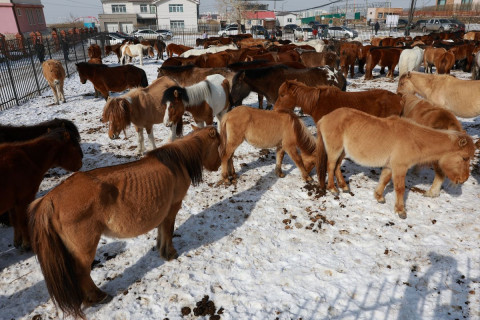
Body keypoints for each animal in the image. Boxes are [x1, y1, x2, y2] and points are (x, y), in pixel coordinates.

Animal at [31, 126, 222, 318]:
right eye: (219, 144)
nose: (219, 165)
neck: (176, 163)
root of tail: (50, 199)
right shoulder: (172, 208)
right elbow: (168, 232)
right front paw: (170, 253)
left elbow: (161, 232)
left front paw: (160, 249)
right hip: (84, 248)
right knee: (81, 273)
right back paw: (99, 296)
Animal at [316, 108, 474, 220]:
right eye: (465, 158)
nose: (464, 179)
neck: (415, 139)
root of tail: (324, 118)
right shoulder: (400, 167)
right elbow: (400, 188)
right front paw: (400, 211)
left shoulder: (390, 166)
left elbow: (384, 180)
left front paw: (379, 197)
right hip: (335, 150)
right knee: (331, 166)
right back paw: (333, 188)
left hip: (342, 151)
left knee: (337, 166)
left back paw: (344, 186)